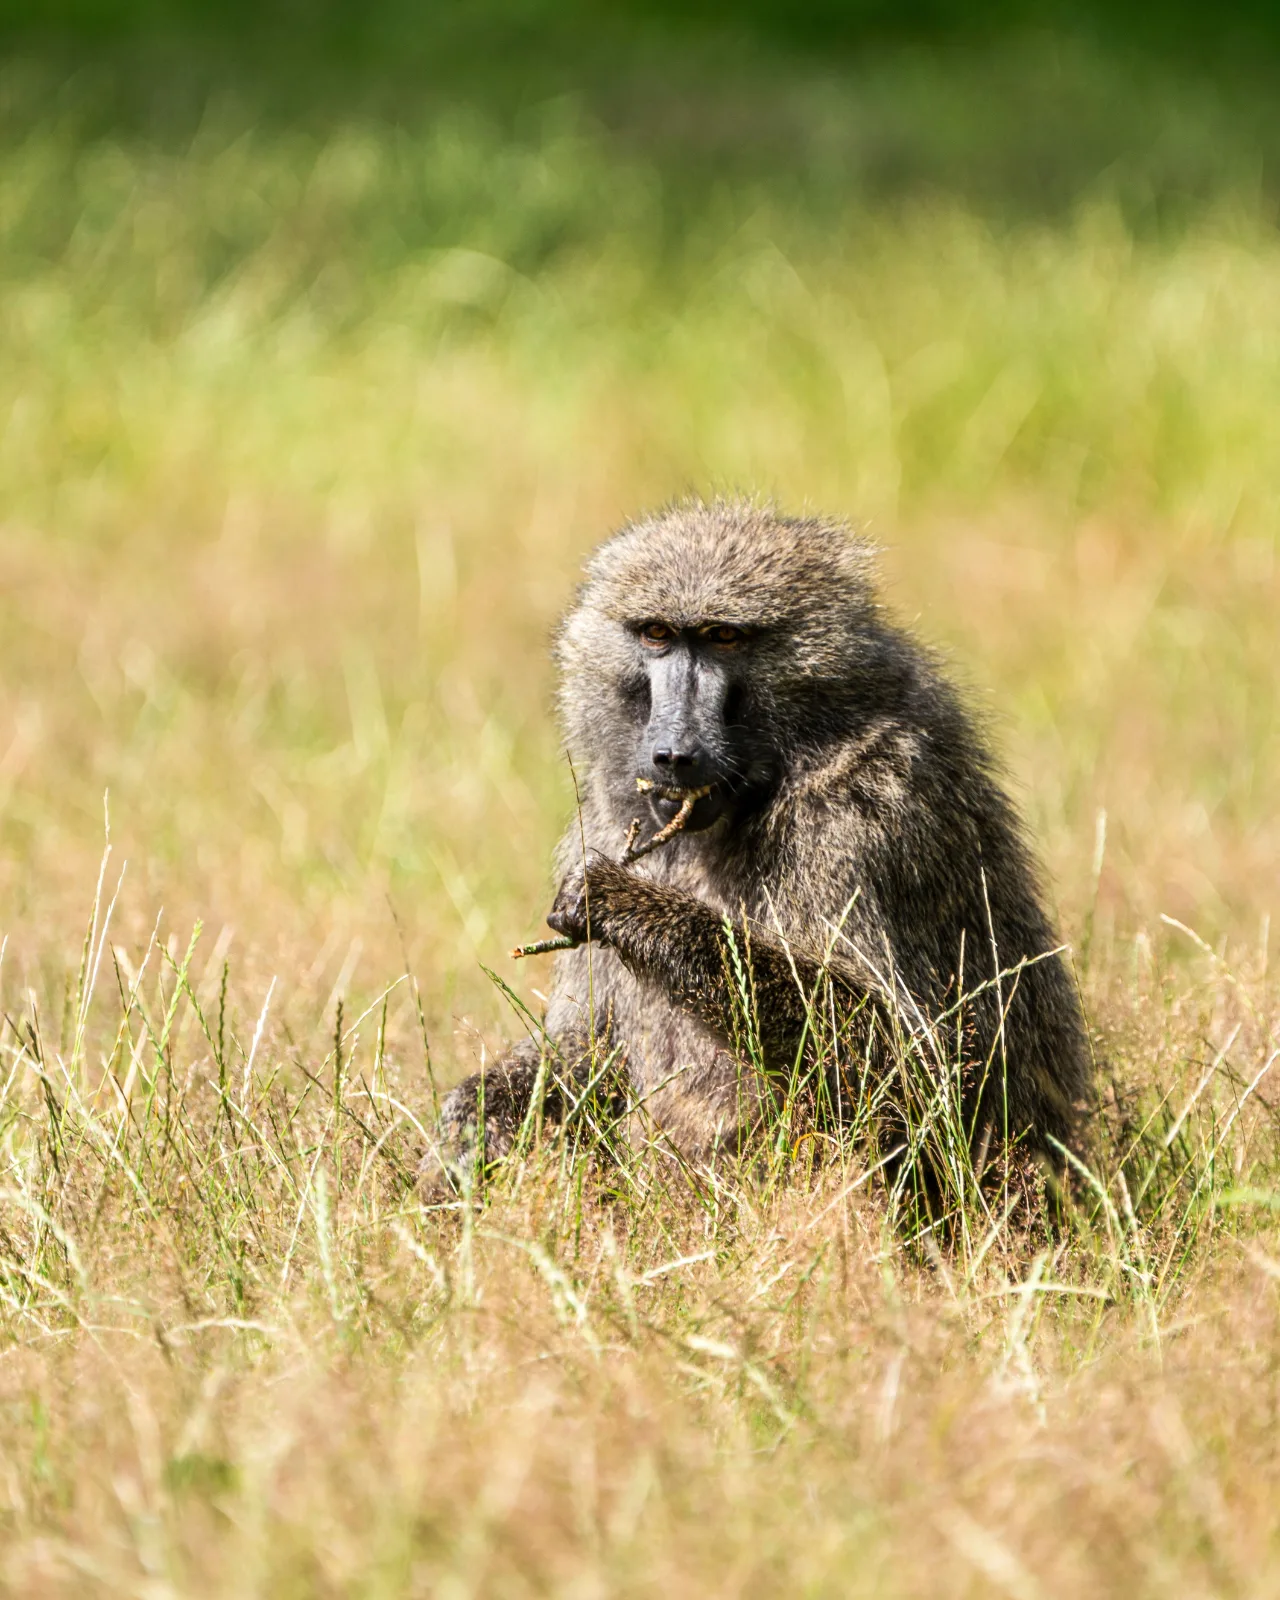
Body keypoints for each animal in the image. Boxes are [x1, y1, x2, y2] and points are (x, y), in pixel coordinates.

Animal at [423, 500, 1091, 1196]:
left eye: (723, 638)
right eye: (656, 634)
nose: (673, 753)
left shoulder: (865, 815)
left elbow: (917, 1065)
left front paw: (622, 902)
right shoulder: (605, 822)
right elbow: (585, 1050)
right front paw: (470, 1128)